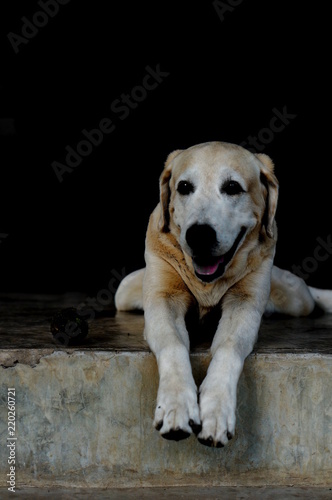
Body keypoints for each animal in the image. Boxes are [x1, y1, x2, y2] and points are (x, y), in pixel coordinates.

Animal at [115, 143, 332, 448]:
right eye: (184, 187)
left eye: (232, 187)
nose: (199, 235)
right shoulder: (162, 297)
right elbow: (172, 343)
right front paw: (176, 405)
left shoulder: (245, 303)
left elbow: (228, 348)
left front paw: (216, 411)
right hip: (124, 291)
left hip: (295, 298)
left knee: (308, 295)